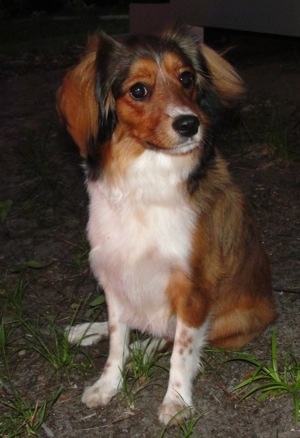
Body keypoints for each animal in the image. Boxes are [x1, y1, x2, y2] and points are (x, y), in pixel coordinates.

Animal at [56, 26, 276, 424]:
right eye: (138, 90)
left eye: (186, 78)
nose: (190, 124)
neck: (146, 178)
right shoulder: (113, 273)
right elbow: (117, 339)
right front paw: (107, 384)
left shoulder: (192, 287)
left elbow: (182, 349)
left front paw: (176, 399)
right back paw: (86, 330)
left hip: (229, 320)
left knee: (169, 335)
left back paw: (145, 350)